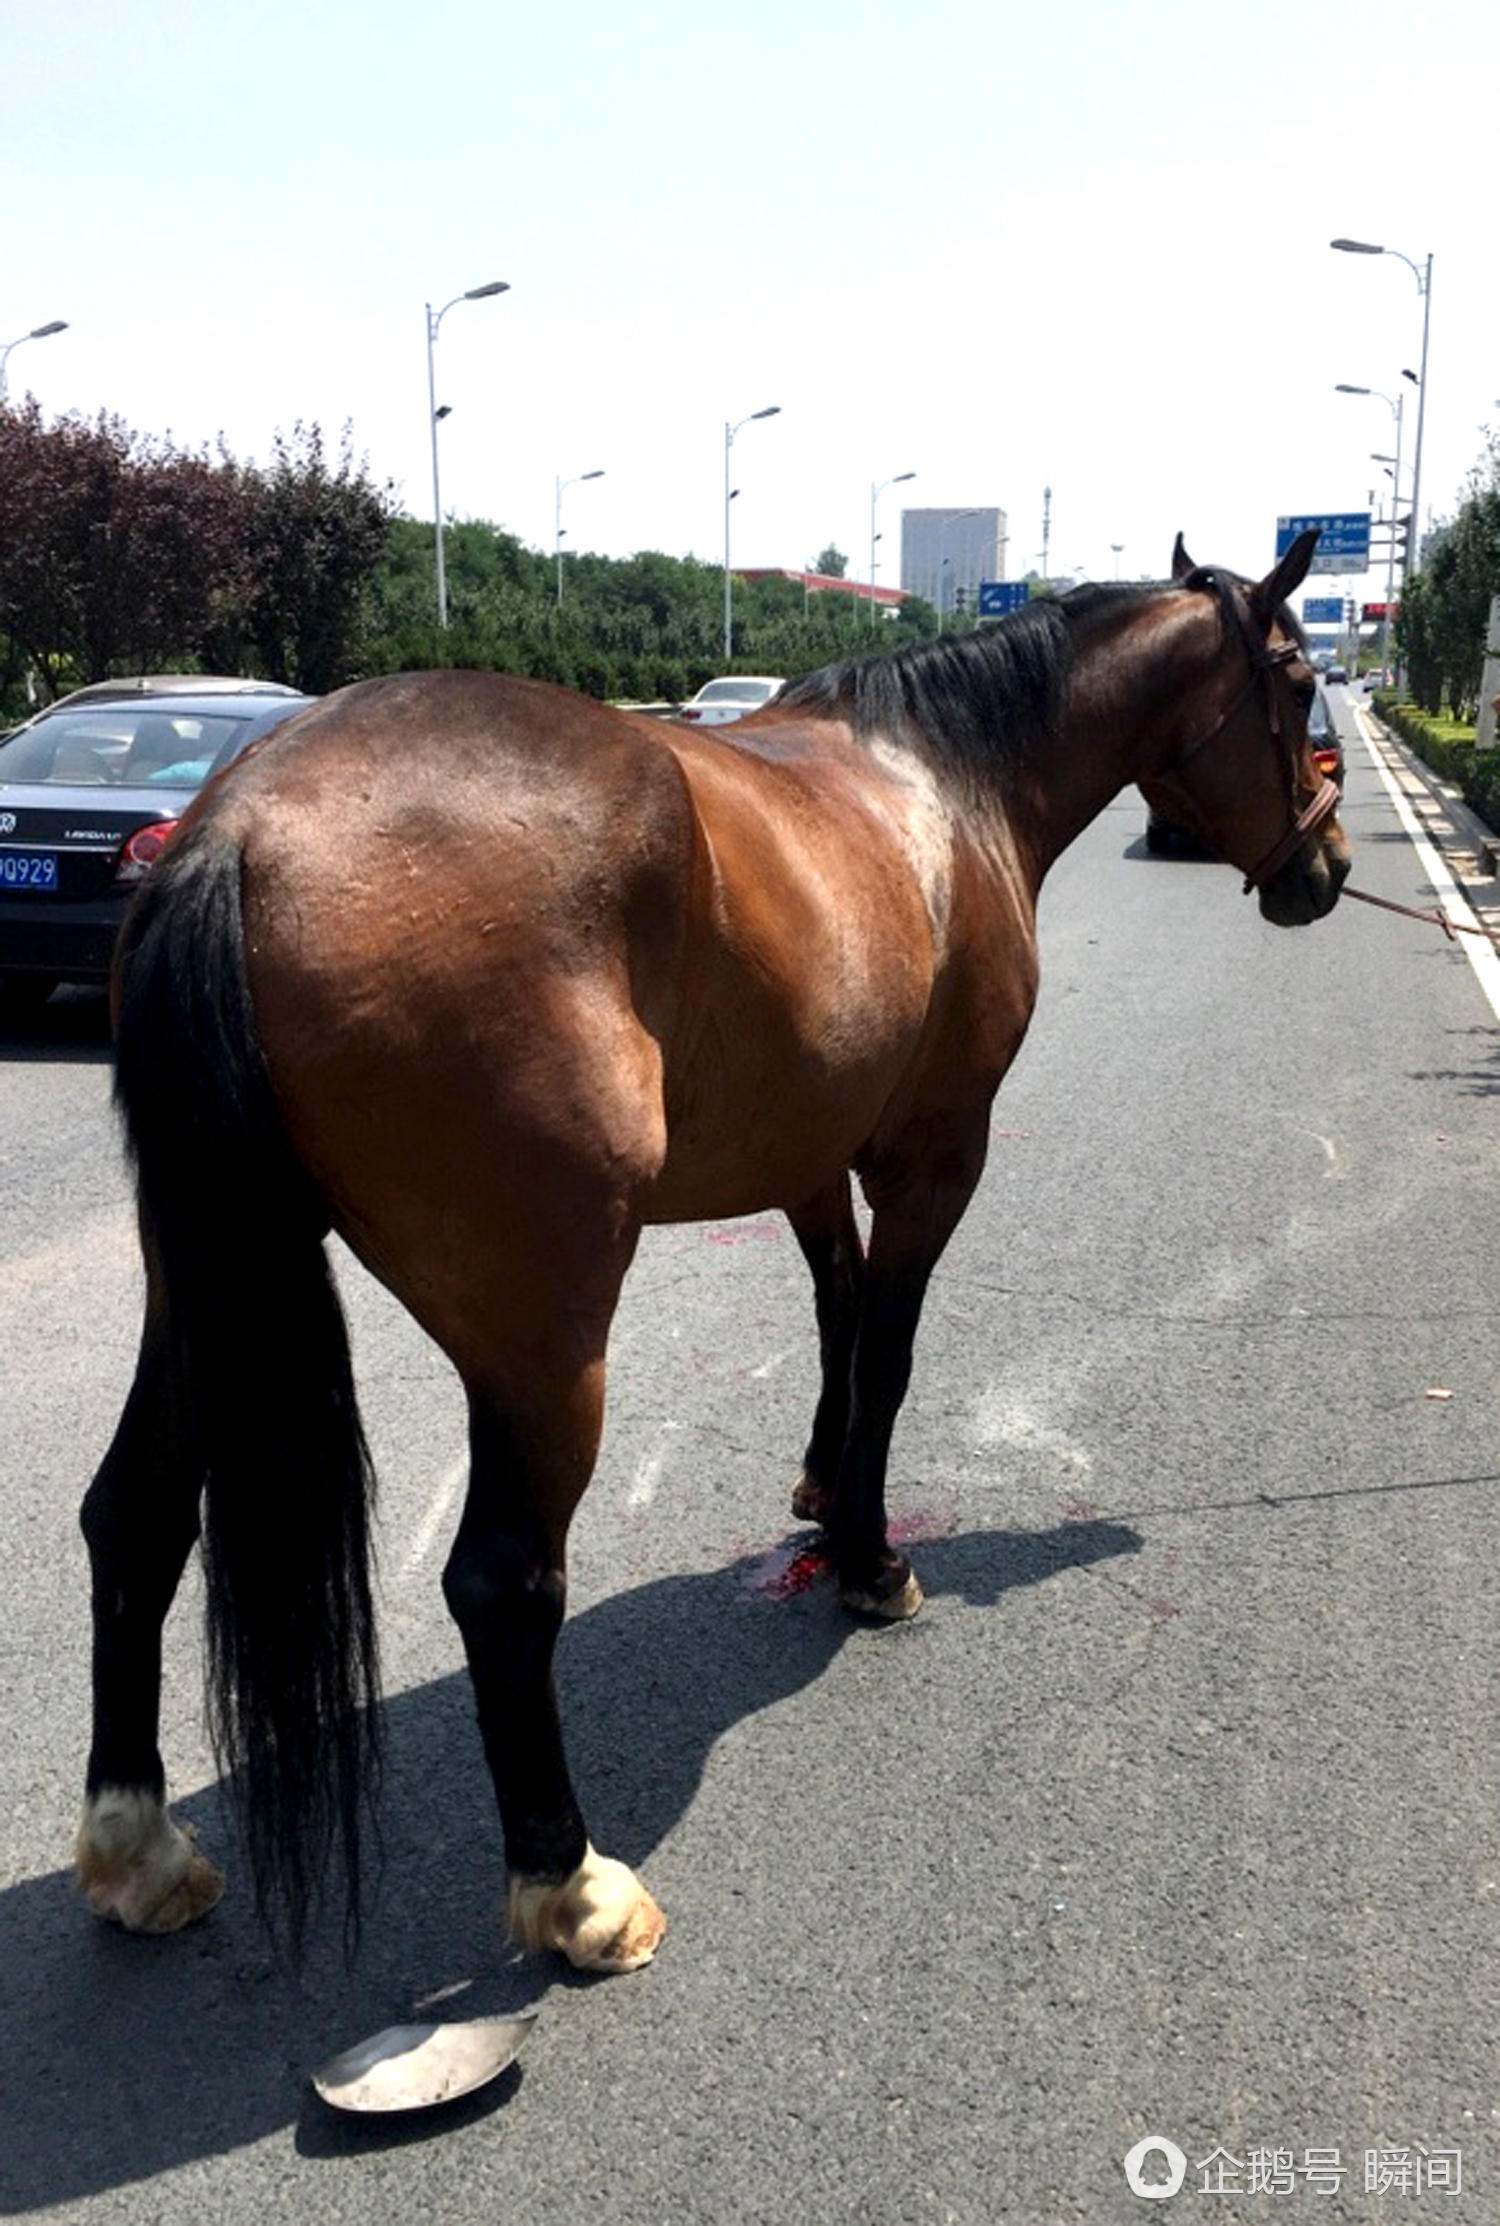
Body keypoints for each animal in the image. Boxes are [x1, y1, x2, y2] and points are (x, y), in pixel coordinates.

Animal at [75, 529, 1344, 1976]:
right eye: (1298, 682)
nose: (1324, 868)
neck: (945, 783)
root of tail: (241, 829)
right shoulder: (937, 1157)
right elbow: (888, 1352)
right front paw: (869, 1560)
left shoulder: (805, 1157)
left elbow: (838, 1315)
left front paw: (823, 1489)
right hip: (541, 1333)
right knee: (501, 1580)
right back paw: (571, 1884)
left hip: (209, 1278)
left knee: (135, 1516)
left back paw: (138, 1847)